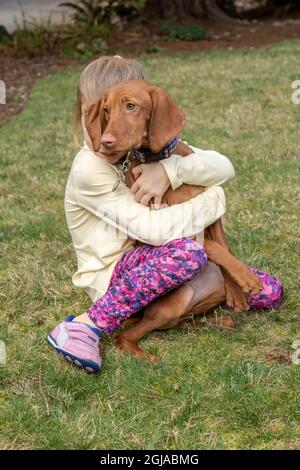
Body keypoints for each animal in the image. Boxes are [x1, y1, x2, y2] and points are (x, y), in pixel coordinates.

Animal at [84, 79, 260, 362]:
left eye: (131, 106)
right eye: (106, 111)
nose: (106, 142)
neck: (158, 161)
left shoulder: (210, 209)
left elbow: (223, 246)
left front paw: (237, 291)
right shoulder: (164, 225)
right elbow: (214, 248)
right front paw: (245, 277)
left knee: (184, 321)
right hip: (169, 306)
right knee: (126, 336)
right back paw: (146, 357)